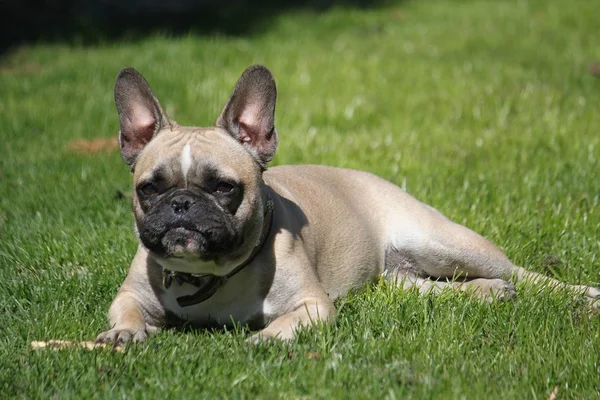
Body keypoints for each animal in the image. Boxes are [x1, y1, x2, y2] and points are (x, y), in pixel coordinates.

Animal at [96, 63, 596, 344]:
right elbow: (125, 309)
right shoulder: (131, 292)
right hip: (400, 277)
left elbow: (284, 324)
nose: (181, 204)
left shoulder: (313, 305)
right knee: (440, 288)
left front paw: (264, 339)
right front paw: (124, 332)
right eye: (149, 189)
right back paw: (488, 292)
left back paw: (581, 295)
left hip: (442, 242)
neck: (209, 278)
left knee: (525, 274)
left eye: (223, 188)